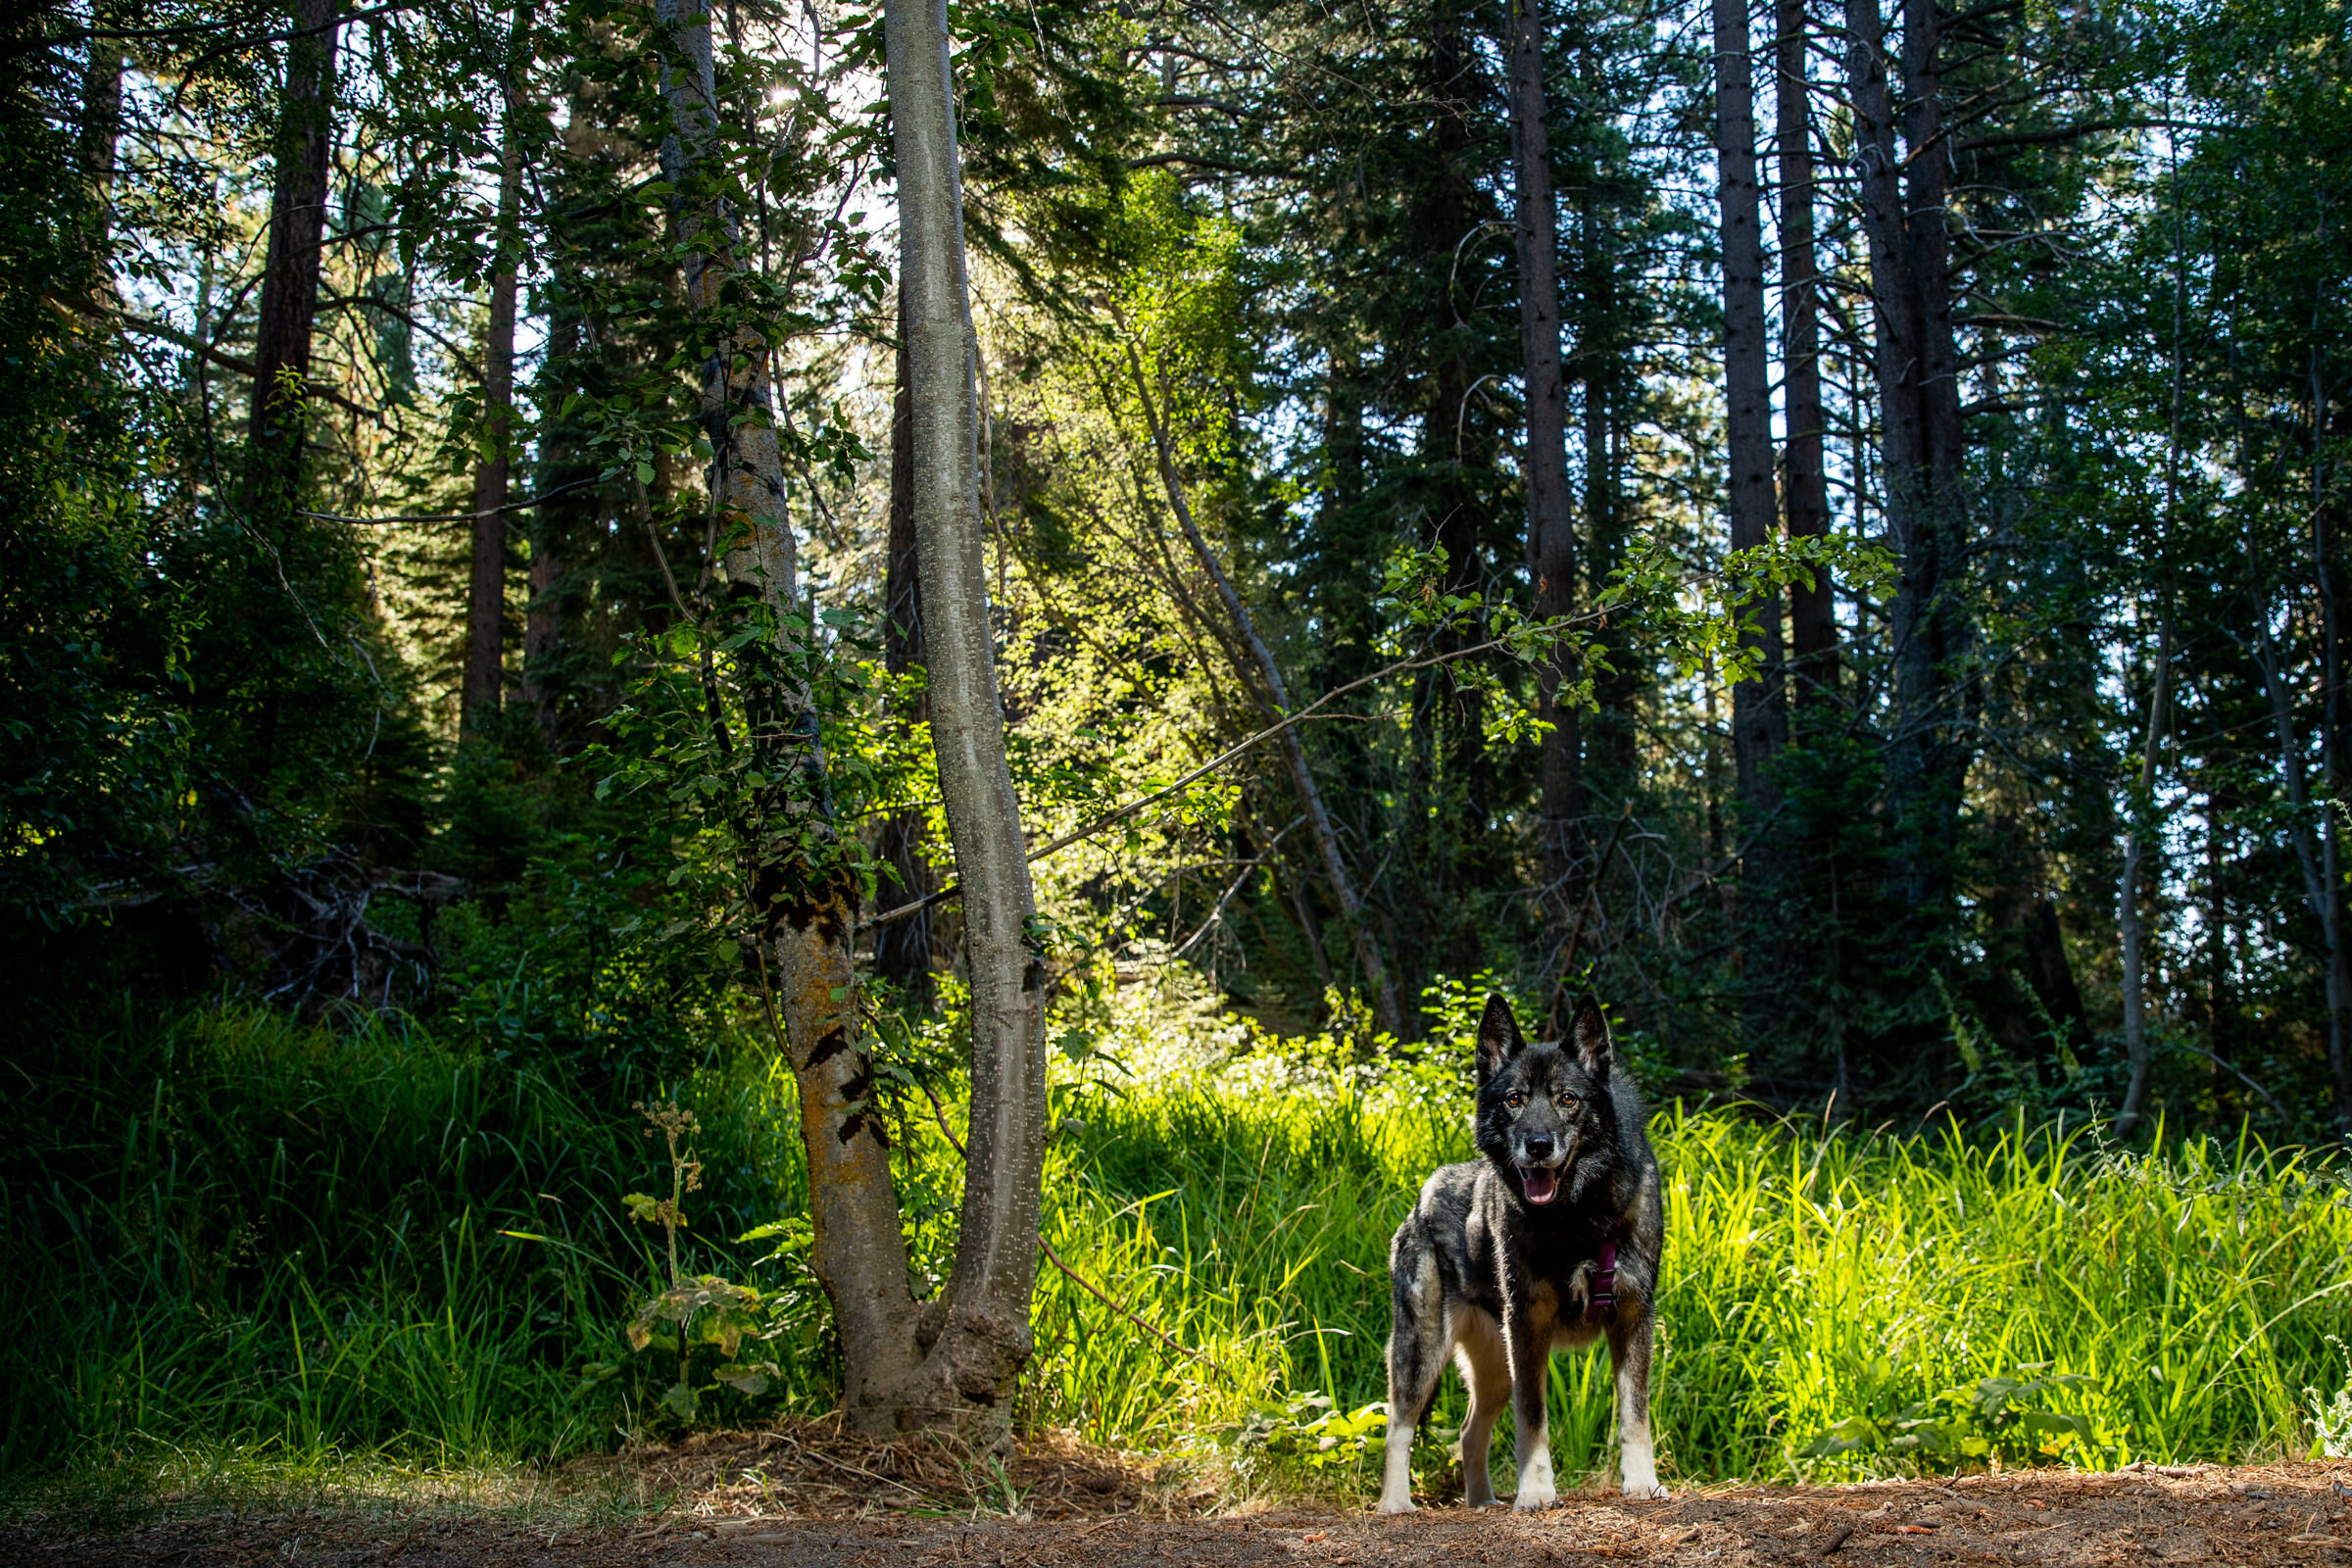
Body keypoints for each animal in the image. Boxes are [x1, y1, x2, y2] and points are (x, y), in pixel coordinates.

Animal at [1373, 987, 1674, 1513]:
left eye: (1567, 1099)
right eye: (1514, 1099)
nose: (1537, 1144)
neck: (1577, 1216)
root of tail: (1422, 1199)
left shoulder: (1633, 1314)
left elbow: (1634, 1414)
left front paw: (1642, 1483)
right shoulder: (1529, 1325)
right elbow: (1533, 1419)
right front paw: (1535, 1491)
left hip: (1495, 1368)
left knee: (1470, 1434)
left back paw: (1481, 1503)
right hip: (1424, 1349)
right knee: (1398, 1426)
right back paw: (1396, 1504)